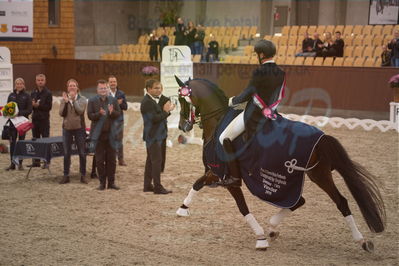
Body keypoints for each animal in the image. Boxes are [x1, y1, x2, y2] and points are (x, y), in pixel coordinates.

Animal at [176, 77, 388, 251]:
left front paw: (260, 238)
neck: (218, 120)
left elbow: (243, 208)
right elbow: (197, 183)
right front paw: (182, 209)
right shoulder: (214, 173)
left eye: (182, 100)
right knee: (315, 201)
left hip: (313, 175)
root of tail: (323, 137)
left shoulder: (228, 179)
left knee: (325, 201)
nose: (182, 126)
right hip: (317, 173)